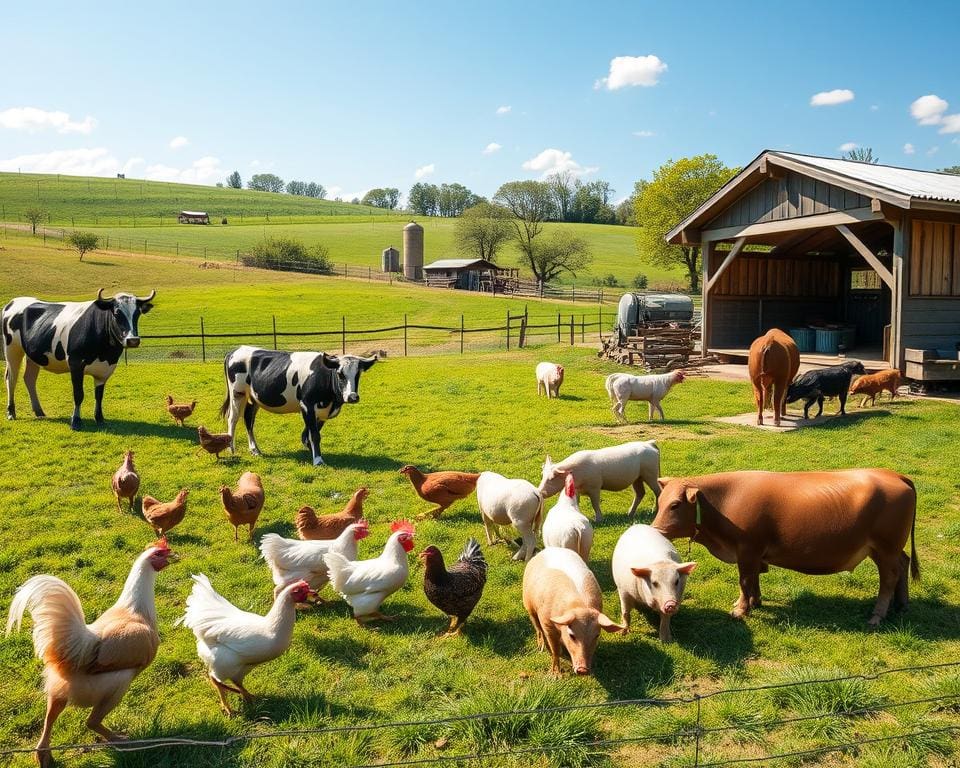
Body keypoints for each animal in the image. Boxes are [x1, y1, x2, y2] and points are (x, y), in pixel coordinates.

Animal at [2, 290, 156, 428]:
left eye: (137, 313)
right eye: (117, 313)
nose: (133, 340)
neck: (105, 352)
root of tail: (14, 301)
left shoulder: (105, 369)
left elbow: (99, 395)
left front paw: (99, 418)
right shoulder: (76, 364)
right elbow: (78, 394)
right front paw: (75, 420)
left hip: (34, 355)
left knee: (29, 379)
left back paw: (39, 411)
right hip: (12, 349)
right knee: (11, 379)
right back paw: (11, 412)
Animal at [219, 344, 376, 464]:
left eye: (358, 374)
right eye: (340, 374)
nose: (352, 397)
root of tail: (236, 350)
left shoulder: (322, 412)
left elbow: (309, 434)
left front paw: (312, 451)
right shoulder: (307, 405)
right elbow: (314, 435)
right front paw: (318, 460)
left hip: (253, 398)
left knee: (248, 420)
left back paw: (255, 450)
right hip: (237, 393)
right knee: (233, 419)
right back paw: (231, 448)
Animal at [520, 548, 628, 676]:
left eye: (597, 635)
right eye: (572, 635)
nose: (583, 670)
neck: (580, 606)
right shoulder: (547, 622)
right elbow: (555, 650)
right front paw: (556, 676)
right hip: (529, 605)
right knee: (537, 628)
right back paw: (541, 648)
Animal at [652, 472, 916, 628]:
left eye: (675, 505)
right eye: (660, 501)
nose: (655, 529)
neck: (724, 502)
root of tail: (895, 475)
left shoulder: (747, 550)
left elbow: (745, 580)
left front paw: (741, 609)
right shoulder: (754, 553)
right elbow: (754, 580)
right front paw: (755, 602)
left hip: (886, 548)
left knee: (889, 577)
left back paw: (878, 615)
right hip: (886, 550)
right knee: (904, 564)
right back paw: (901, 604)